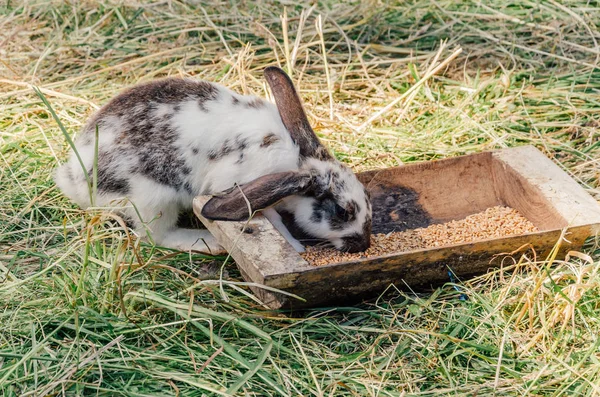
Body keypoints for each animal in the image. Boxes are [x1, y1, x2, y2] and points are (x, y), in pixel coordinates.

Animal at [54, 67, 370, 254]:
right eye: (343, 212)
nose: (362, 244)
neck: (295, 165)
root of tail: (76, 180)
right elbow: (273, 220)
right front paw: (295, 248)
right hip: (154, 199)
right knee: (157, 236)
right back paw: (211, 243)